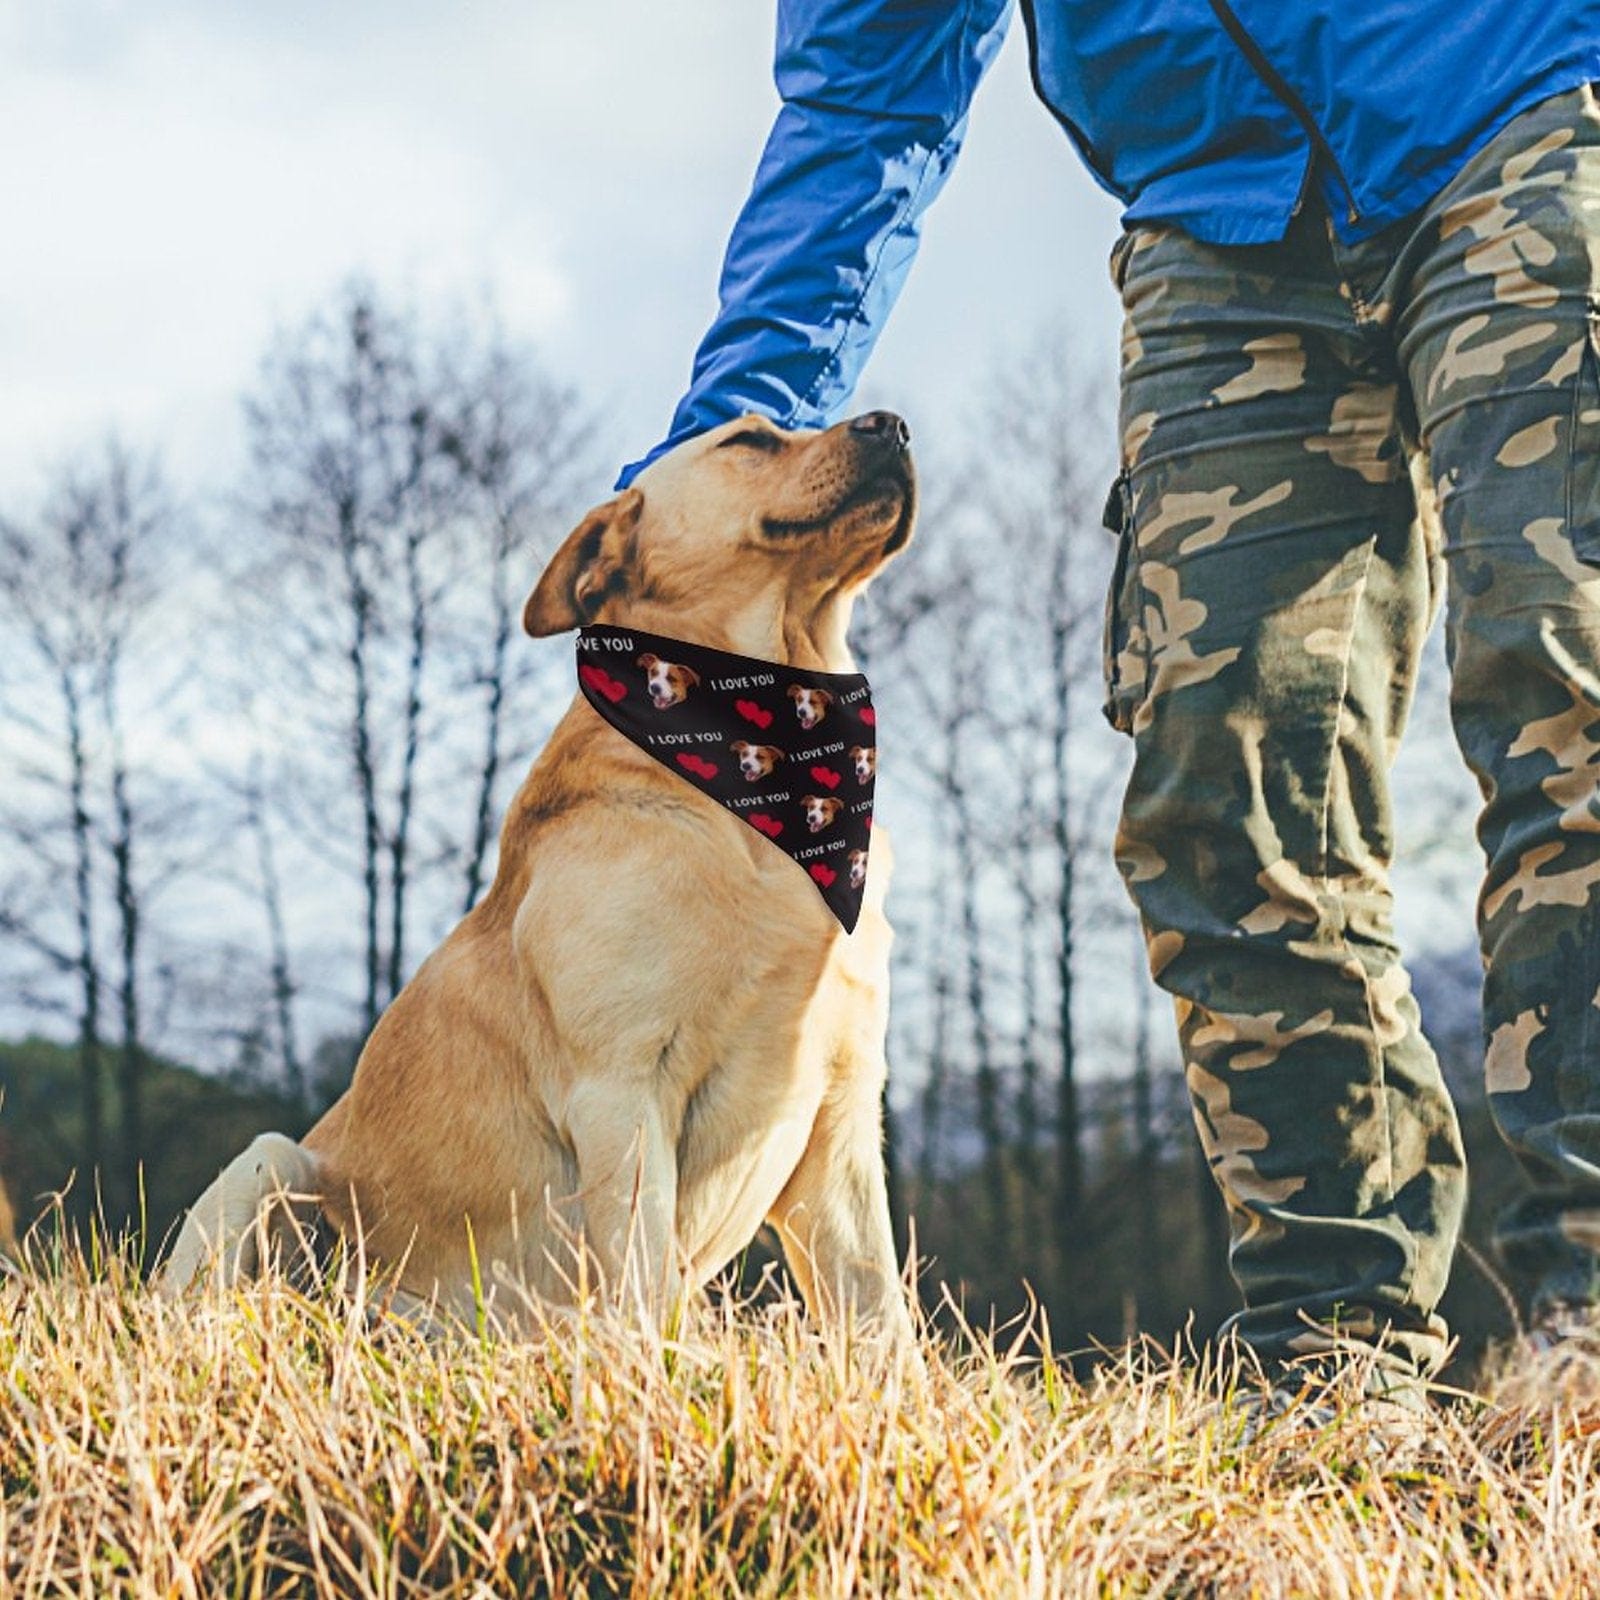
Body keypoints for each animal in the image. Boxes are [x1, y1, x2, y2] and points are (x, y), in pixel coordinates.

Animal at [164, 409, 921, 1337]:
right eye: (747, 440)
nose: (894, 425)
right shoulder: (621, 1088)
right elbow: (644, 1289)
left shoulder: (842, 1110)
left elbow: (883, 1320)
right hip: (272, 1165)